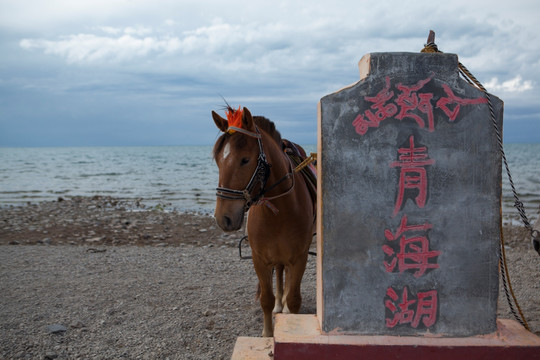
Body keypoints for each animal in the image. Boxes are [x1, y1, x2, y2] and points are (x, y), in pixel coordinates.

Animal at [212, 105, 314, 336]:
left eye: (245, 160)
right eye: (218, 160)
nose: (224, 218)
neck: (280, 212)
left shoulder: (300, 257)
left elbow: (294, 299)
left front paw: (289, 314)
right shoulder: (259, 258)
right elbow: (266, 300)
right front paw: (267, 334)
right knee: (279, 272)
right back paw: (279, 303)